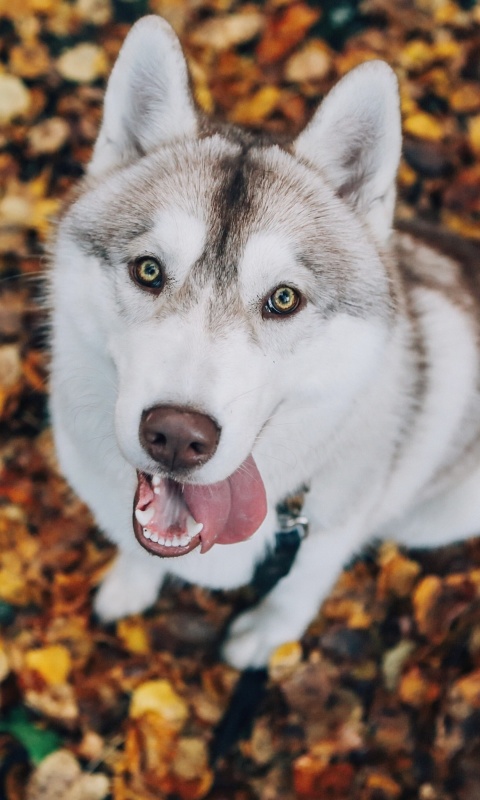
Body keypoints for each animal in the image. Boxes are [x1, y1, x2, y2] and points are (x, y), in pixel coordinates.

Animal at [49, 17, 480, 668]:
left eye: (283, 299)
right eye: (148, 270)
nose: (178, 436)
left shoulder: (328, 534)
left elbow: (298, 589)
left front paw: (265, 636)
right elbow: (135, 547)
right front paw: (130, 583)